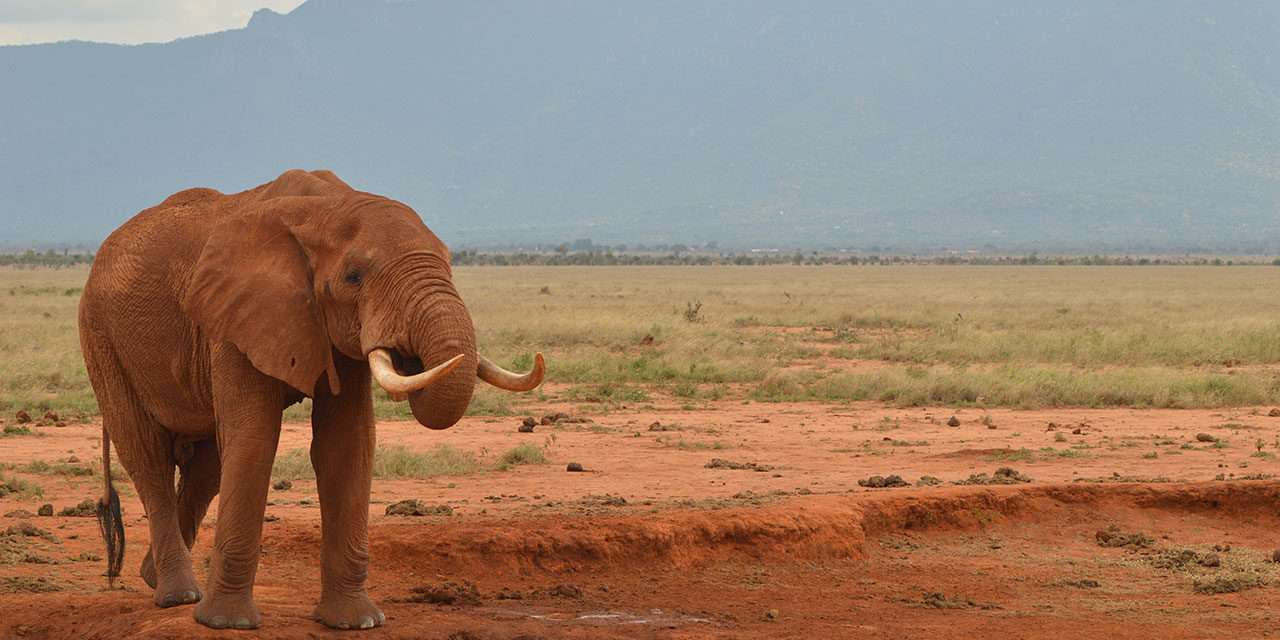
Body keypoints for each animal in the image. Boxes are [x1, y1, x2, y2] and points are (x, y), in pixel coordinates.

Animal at [77, 168, 542, 629]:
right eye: (354, 277)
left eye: (450, 263)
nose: (410, 354)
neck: (324, 207)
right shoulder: (233, 320)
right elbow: (255, 439)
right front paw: (227, 623)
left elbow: (347, 444)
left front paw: (356, 622)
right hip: (101, 337)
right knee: (148, 455)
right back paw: (178, 596)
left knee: (206, 468)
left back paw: (154, 579)